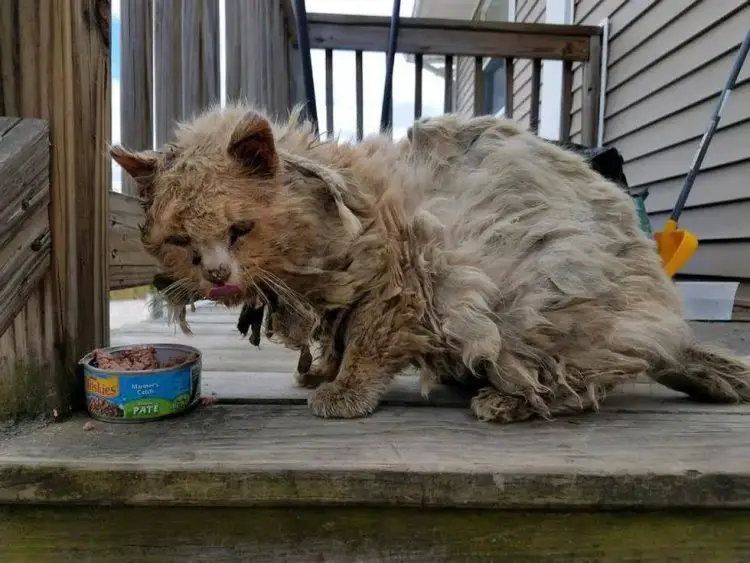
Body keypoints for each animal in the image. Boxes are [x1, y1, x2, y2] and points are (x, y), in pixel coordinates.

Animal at [111, 104, 750, 424]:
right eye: (180, 241)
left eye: (239, 231)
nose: (217, 275)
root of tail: (668, 329)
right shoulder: (348, 298)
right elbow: (335, 338)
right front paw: (319, 373)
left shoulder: (402, 286)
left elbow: (365, 347)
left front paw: (343, 394)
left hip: (541, 305)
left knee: (583, 383)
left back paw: (504, 401)